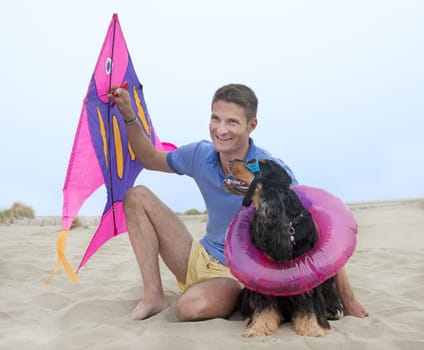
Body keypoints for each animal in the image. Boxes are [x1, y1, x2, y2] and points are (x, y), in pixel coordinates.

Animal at [224, 159, 342, 336]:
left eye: (254, 163)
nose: (230, 160)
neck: (288, 223)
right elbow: (264, 303)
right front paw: (259, 328)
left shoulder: (307, 271)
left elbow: (309, 300)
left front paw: (311, 328)